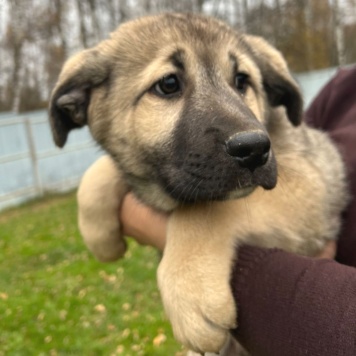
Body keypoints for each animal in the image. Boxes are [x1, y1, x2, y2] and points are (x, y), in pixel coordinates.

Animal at [48, 13, 348, 354]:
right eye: (168, 84)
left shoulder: (315, 180)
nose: (254, 148)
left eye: (242, 81)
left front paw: (191, 289)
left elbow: (203, 212)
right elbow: (99, 171)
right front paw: (100, 236)